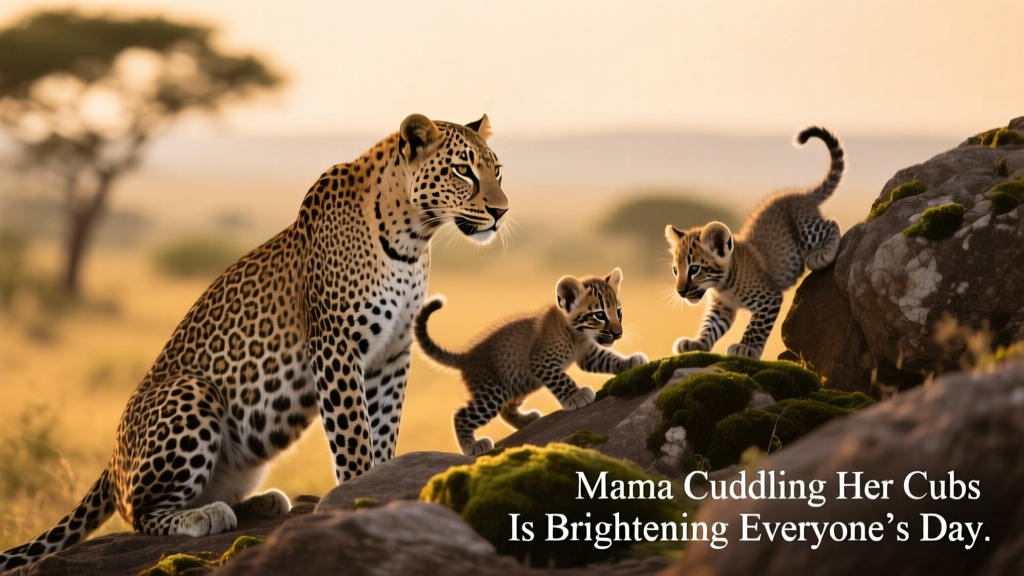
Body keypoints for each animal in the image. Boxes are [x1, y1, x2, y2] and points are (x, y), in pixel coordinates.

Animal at [0, 113, 509, 572]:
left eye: (497, 170)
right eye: (462, 170)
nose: (501, 211)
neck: (412, 239)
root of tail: (111, 458)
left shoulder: (394, 353)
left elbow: (384, 426)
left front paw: (385, 482)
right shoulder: (336, 346)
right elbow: (353, 434)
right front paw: (359, 491)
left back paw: (263, 503)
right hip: (190, 392)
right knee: (138, 512)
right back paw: (206, 515)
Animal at [413, 268, 648, 456]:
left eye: (618, 311)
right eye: (599, 315)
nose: (618, 333)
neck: (578, 335)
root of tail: (466, 356)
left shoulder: (588, 354)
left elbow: (608, 359)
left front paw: (632, 362)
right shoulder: (541, 361)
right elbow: (562, 379)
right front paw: (577, 396)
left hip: (517, 384)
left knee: (506, 410)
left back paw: (528, 419)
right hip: (492, 391)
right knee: (461, 415)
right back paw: (472, 446)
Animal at [665, 125, 845, 360]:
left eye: (694, 269)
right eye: (675, 271)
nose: (680, 292)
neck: (723, 285)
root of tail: (802, 195)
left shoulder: (769, 297)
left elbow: (757, 326)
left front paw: (746, 348)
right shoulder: (722, 307)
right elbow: (710, 326)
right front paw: (696, 343)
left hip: (806, 229)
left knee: (832, 224)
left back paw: (822, 255)